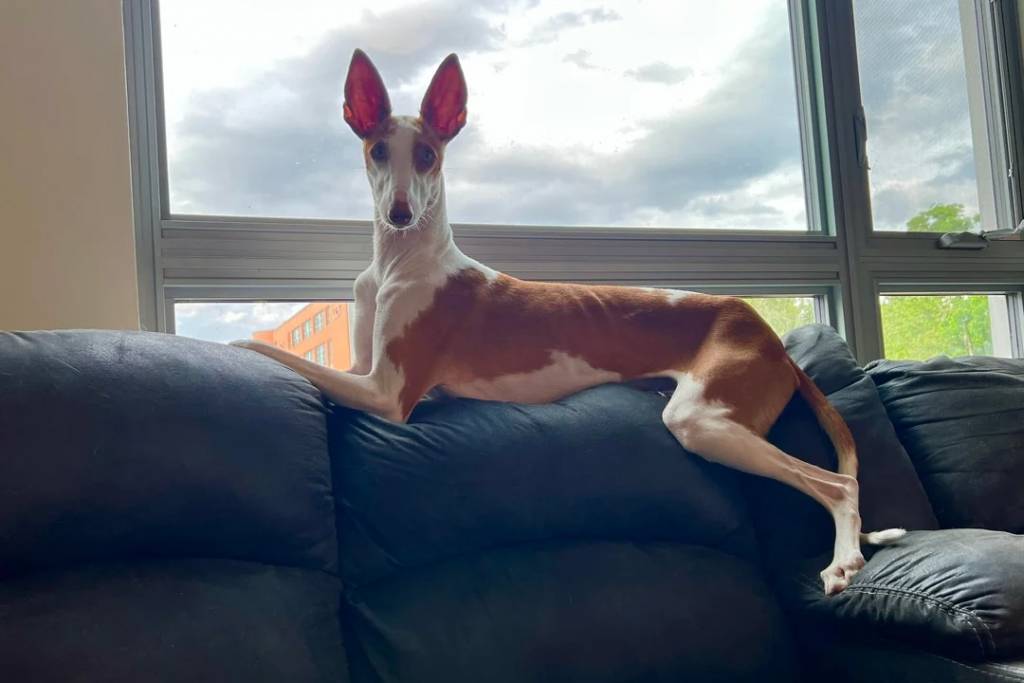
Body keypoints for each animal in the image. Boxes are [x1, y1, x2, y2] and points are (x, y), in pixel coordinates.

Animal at [233, 50, 906, 595]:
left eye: (426, 156)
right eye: (377, 152)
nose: (400, 213)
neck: (400, 261)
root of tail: (765, 333)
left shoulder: (387, 393)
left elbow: (258, 347)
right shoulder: (364, 369)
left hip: (703, 419)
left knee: (837, 486)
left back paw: (843, 563)